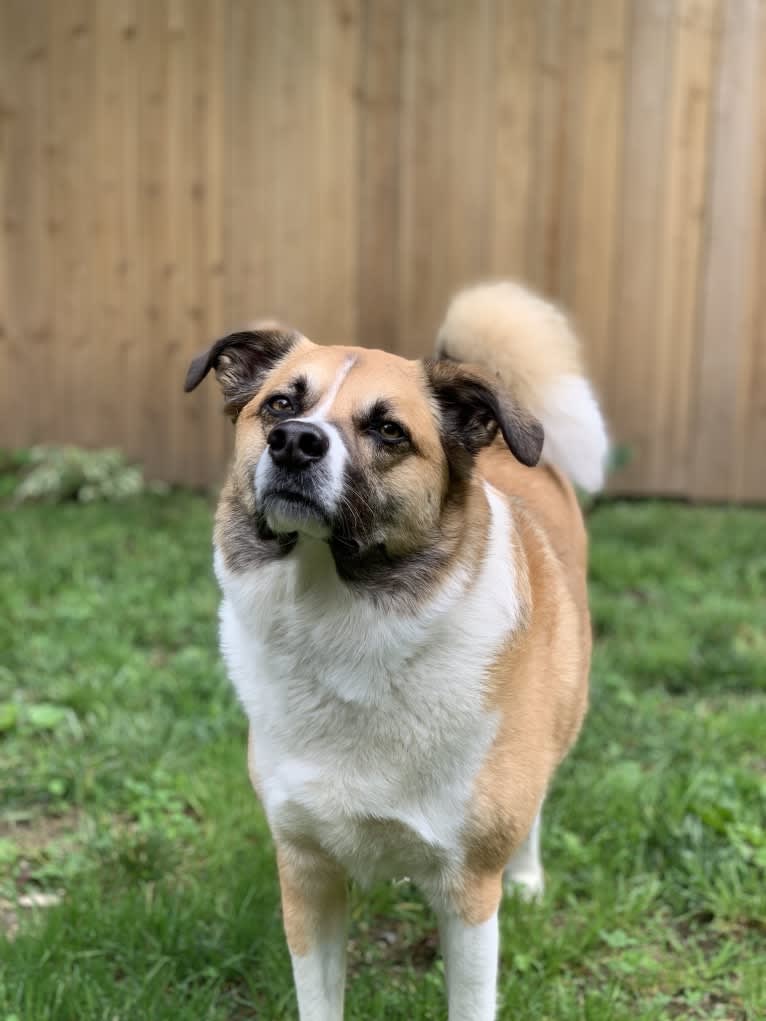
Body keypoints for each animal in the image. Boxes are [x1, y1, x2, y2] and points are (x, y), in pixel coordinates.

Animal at [185, 281, 612, 1021]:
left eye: (389, 430)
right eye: (280, 404)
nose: (293, 443)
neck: (341, 623)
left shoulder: (469, 892)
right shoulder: (305, 873)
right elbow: (319, 998)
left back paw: (528, 877)